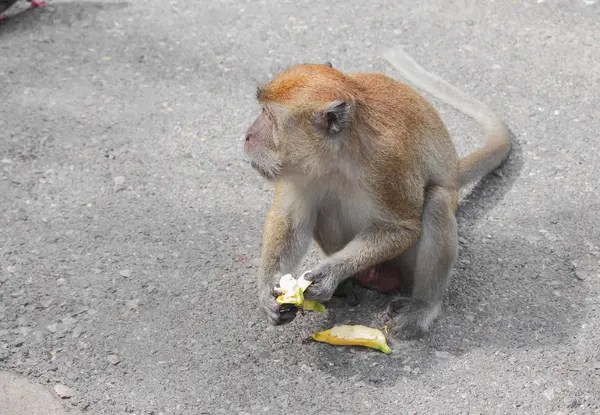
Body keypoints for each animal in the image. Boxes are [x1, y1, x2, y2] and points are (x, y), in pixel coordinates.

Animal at [244, 51, 510, 338]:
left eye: (269, 116)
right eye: (263, 110)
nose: (247, 136)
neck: (337, 155)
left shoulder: (388, 161)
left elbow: (402, 227)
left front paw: (330, 274)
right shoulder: (299, 169)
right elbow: (290, 221)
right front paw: (267, 290)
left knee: (437, 201)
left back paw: (423, 306)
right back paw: (347, 286)